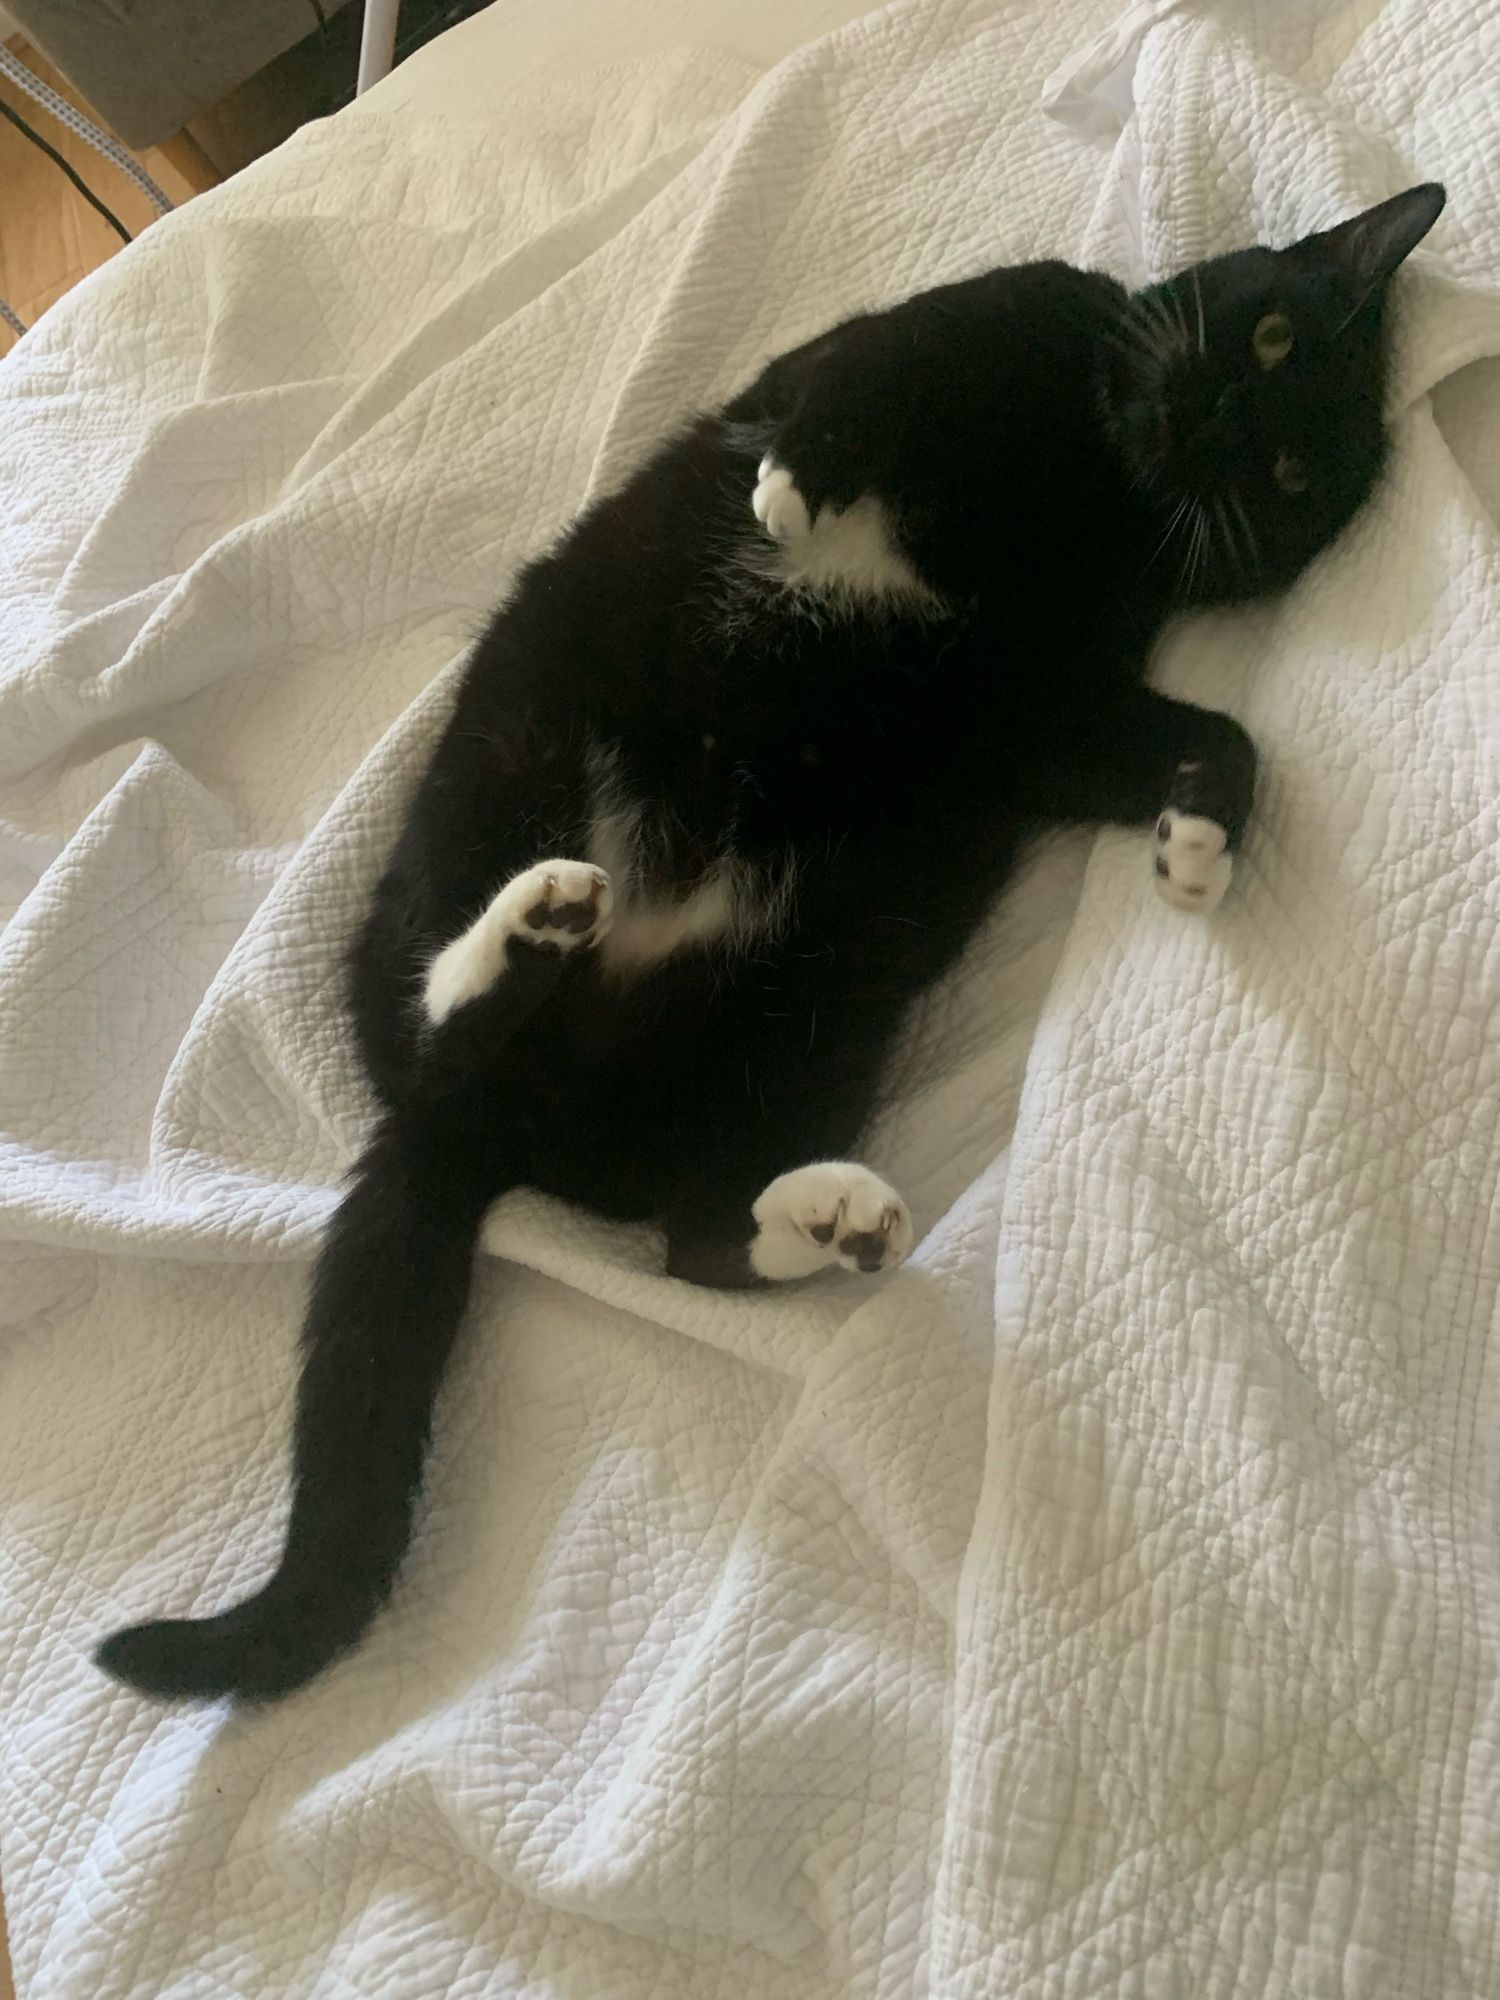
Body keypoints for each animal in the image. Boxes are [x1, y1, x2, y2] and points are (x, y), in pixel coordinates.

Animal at [94, 184, 1448, 1704]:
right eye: (1268, 336)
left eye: (1288, 471)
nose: (1212, 422)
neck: (1101, 481)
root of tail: (503, 1128)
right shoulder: (977, 322)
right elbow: (859, 376)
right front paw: (801, 488)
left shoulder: (1044, 706)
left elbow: (1215, 731)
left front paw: (1202, 840)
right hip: (501, 773)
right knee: (434, 1019)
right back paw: (537, 928)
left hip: (821, 995)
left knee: (694, 1235)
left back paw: (824, 1214)